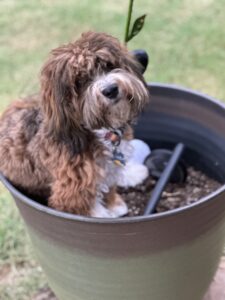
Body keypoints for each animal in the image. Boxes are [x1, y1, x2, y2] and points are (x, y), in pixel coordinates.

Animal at [0, 31, 149, 217]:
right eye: (80, 81)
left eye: (108, 65)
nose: (111, 90)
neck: (96, 131)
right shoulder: (71, 193)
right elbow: (92, 210)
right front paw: (109, 213)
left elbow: (110, 182)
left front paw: (114, 204)